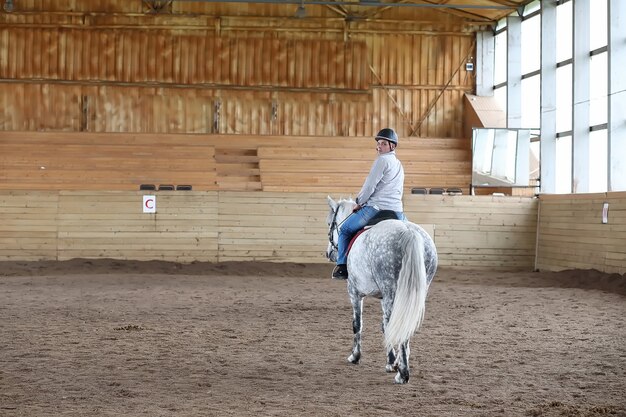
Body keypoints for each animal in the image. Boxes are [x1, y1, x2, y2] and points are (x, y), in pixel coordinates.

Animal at [324, 195, 436, 384]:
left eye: (329, 223)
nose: (328, 253)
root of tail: (408, 232)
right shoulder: (383, 298)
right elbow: (385, 327)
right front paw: (391, 362)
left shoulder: (354, 292)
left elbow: (357, 324)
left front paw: (355, 356)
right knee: (403, 325)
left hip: (391, 292)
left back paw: (403, 374)